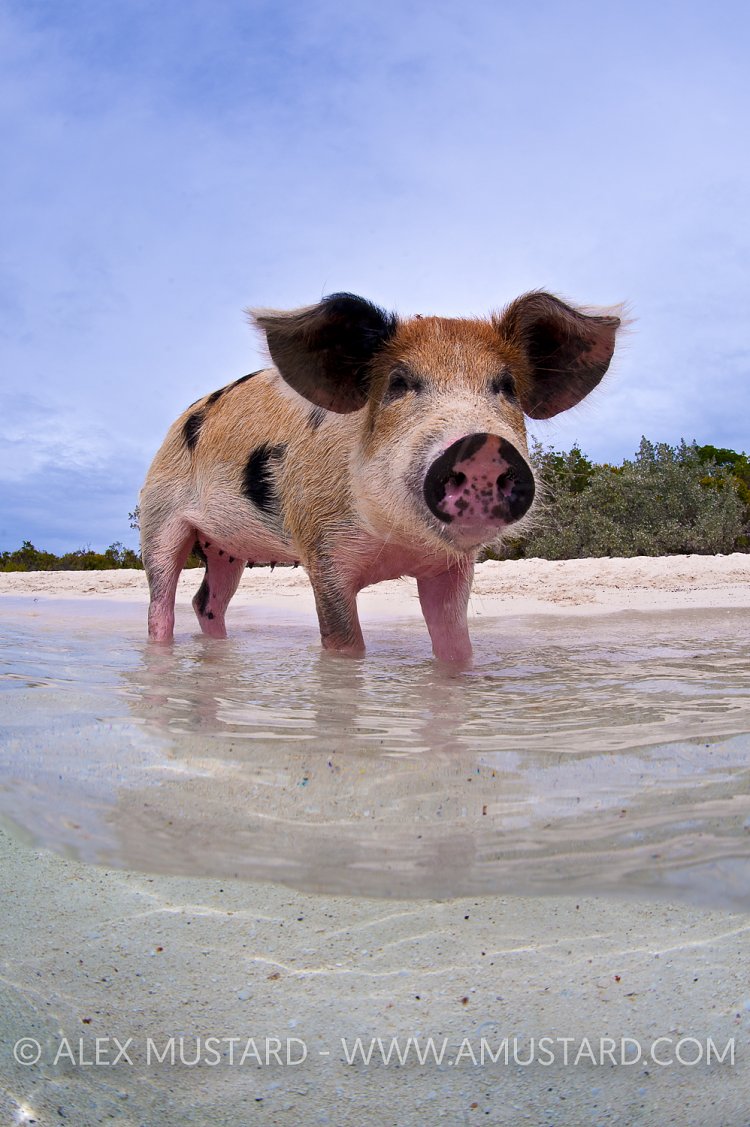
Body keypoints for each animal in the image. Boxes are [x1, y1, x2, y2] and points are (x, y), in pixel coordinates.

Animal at [140, 291, 620, 663]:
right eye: (398, 384)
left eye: (506, 387)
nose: (481, 445)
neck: (398, 543)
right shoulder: (321, 548)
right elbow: (344, 645)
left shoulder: (452, 567)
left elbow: (454, 641)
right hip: (157, 518)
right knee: (162, 597)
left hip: (226, 549)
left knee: (207, 601)